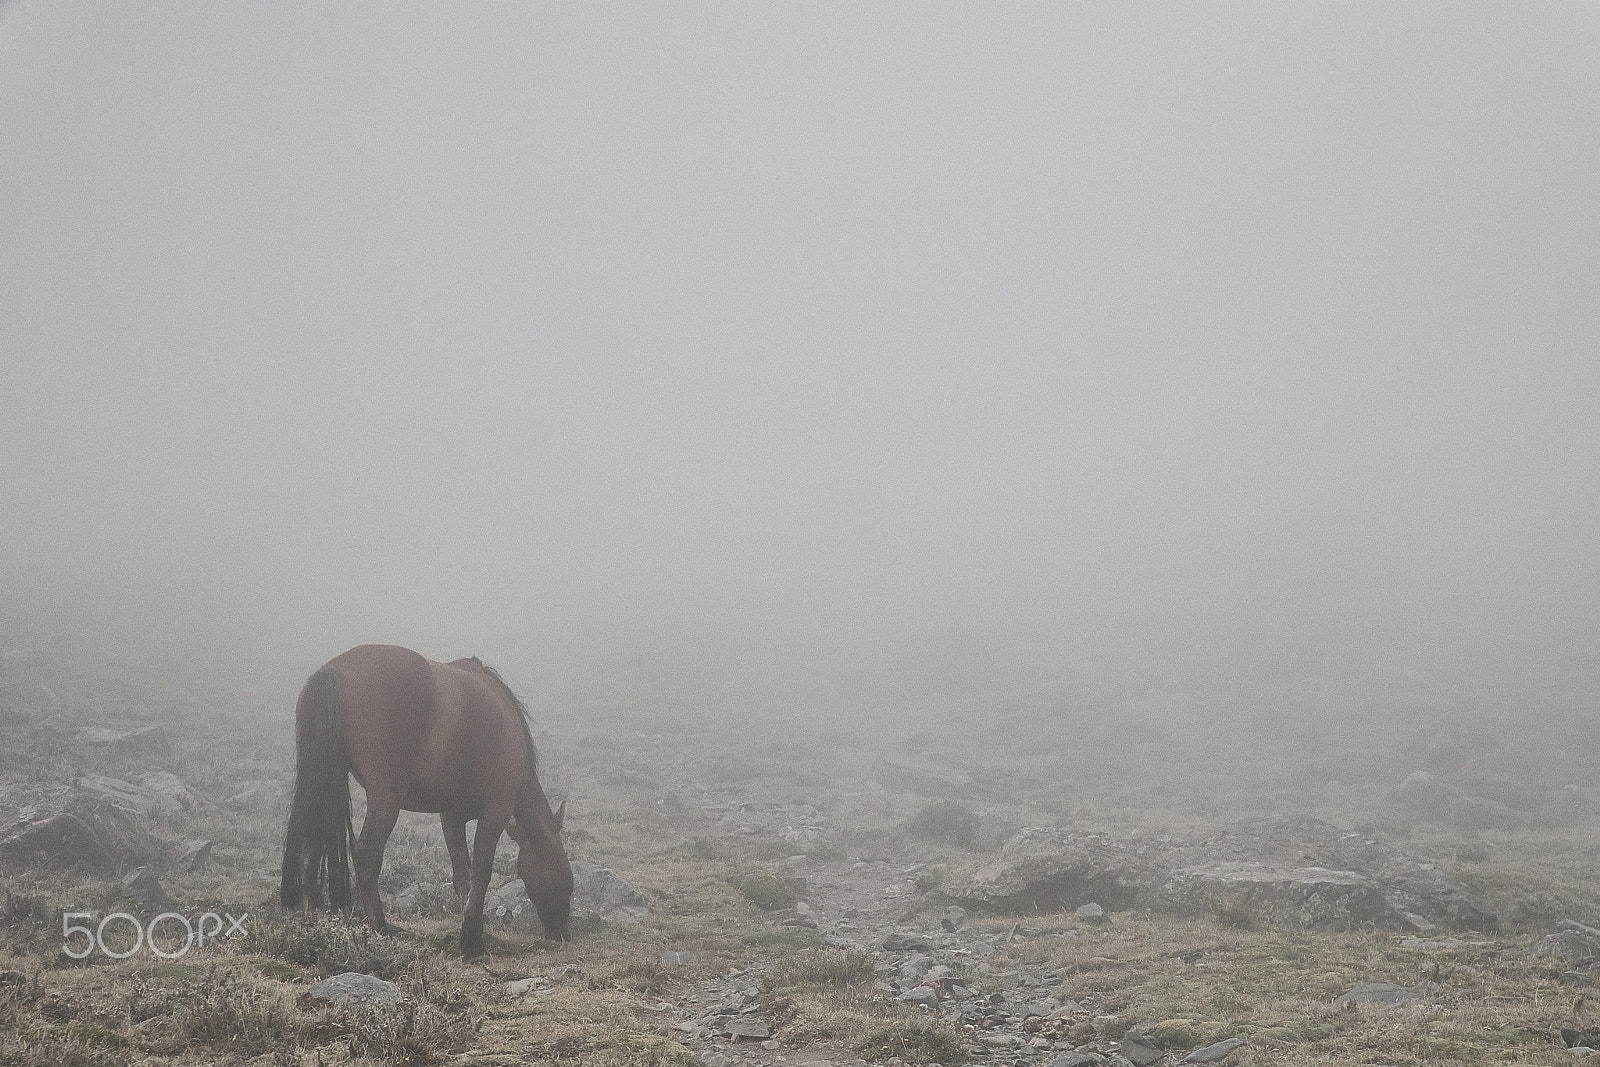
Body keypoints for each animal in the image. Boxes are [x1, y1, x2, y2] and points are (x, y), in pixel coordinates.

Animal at [278, 643, 572, 959]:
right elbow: (481, 874)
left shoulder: (451, 816)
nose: (562, 934)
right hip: (385, 800)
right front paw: (472, 941)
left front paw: (470, 933)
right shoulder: (496, 810)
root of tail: (331, 671)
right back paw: (380, 928)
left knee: (310, 850)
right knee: (366, 855)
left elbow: (463, 877)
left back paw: (311, 926)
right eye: (565, 877)